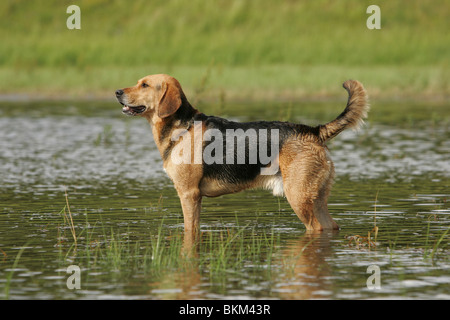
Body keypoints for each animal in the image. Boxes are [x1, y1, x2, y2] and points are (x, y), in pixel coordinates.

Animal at [116, 75, 370, 234]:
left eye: (145, 85)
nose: (117, 91)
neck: (182, 126)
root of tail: (313, 131)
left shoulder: (188, 194)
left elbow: (190, 228)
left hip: (298, 197)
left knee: (315, 228)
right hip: (316, 197)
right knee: (331, 226)